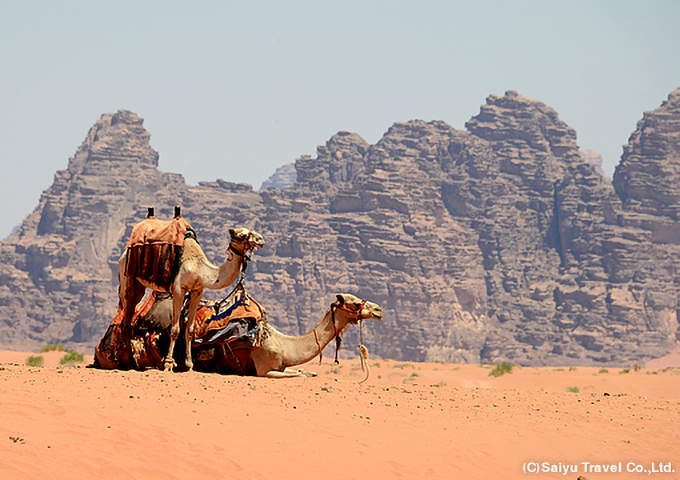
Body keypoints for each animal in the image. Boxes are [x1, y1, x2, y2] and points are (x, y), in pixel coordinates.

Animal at [118, 225, 264, 372]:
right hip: (127, 277)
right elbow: (175, 329)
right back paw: (131, 363)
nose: (261, 240)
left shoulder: (197, 291)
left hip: (139, 285)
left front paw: (189, 365)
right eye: (244, 235)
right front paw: (169, 364)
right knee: (126, 319)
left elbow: (189, 329)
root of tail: (124, 253)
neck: (200, 269)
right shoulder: (178, 290)